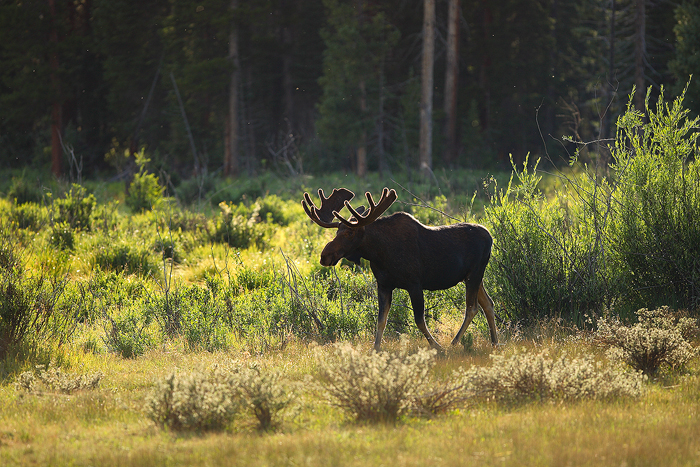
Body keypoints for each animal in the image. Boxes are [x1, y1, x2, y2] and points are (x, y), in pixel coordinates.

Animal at [302, 187, 498, 351]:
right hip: (471, 277)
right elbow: (381, 320)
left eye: (349, 232)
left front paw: (437, 346)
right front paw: (375, 349)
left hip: (475, 273)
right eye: (336, 232)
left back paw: (454, 342)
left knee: (472, 308)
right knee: (488, 303)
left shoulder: (414, 283)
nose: (324, 256)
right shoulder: (383, 285)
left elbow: (419, 320)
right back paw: (494, 342)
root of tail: (490, 237)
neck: (379, 254)